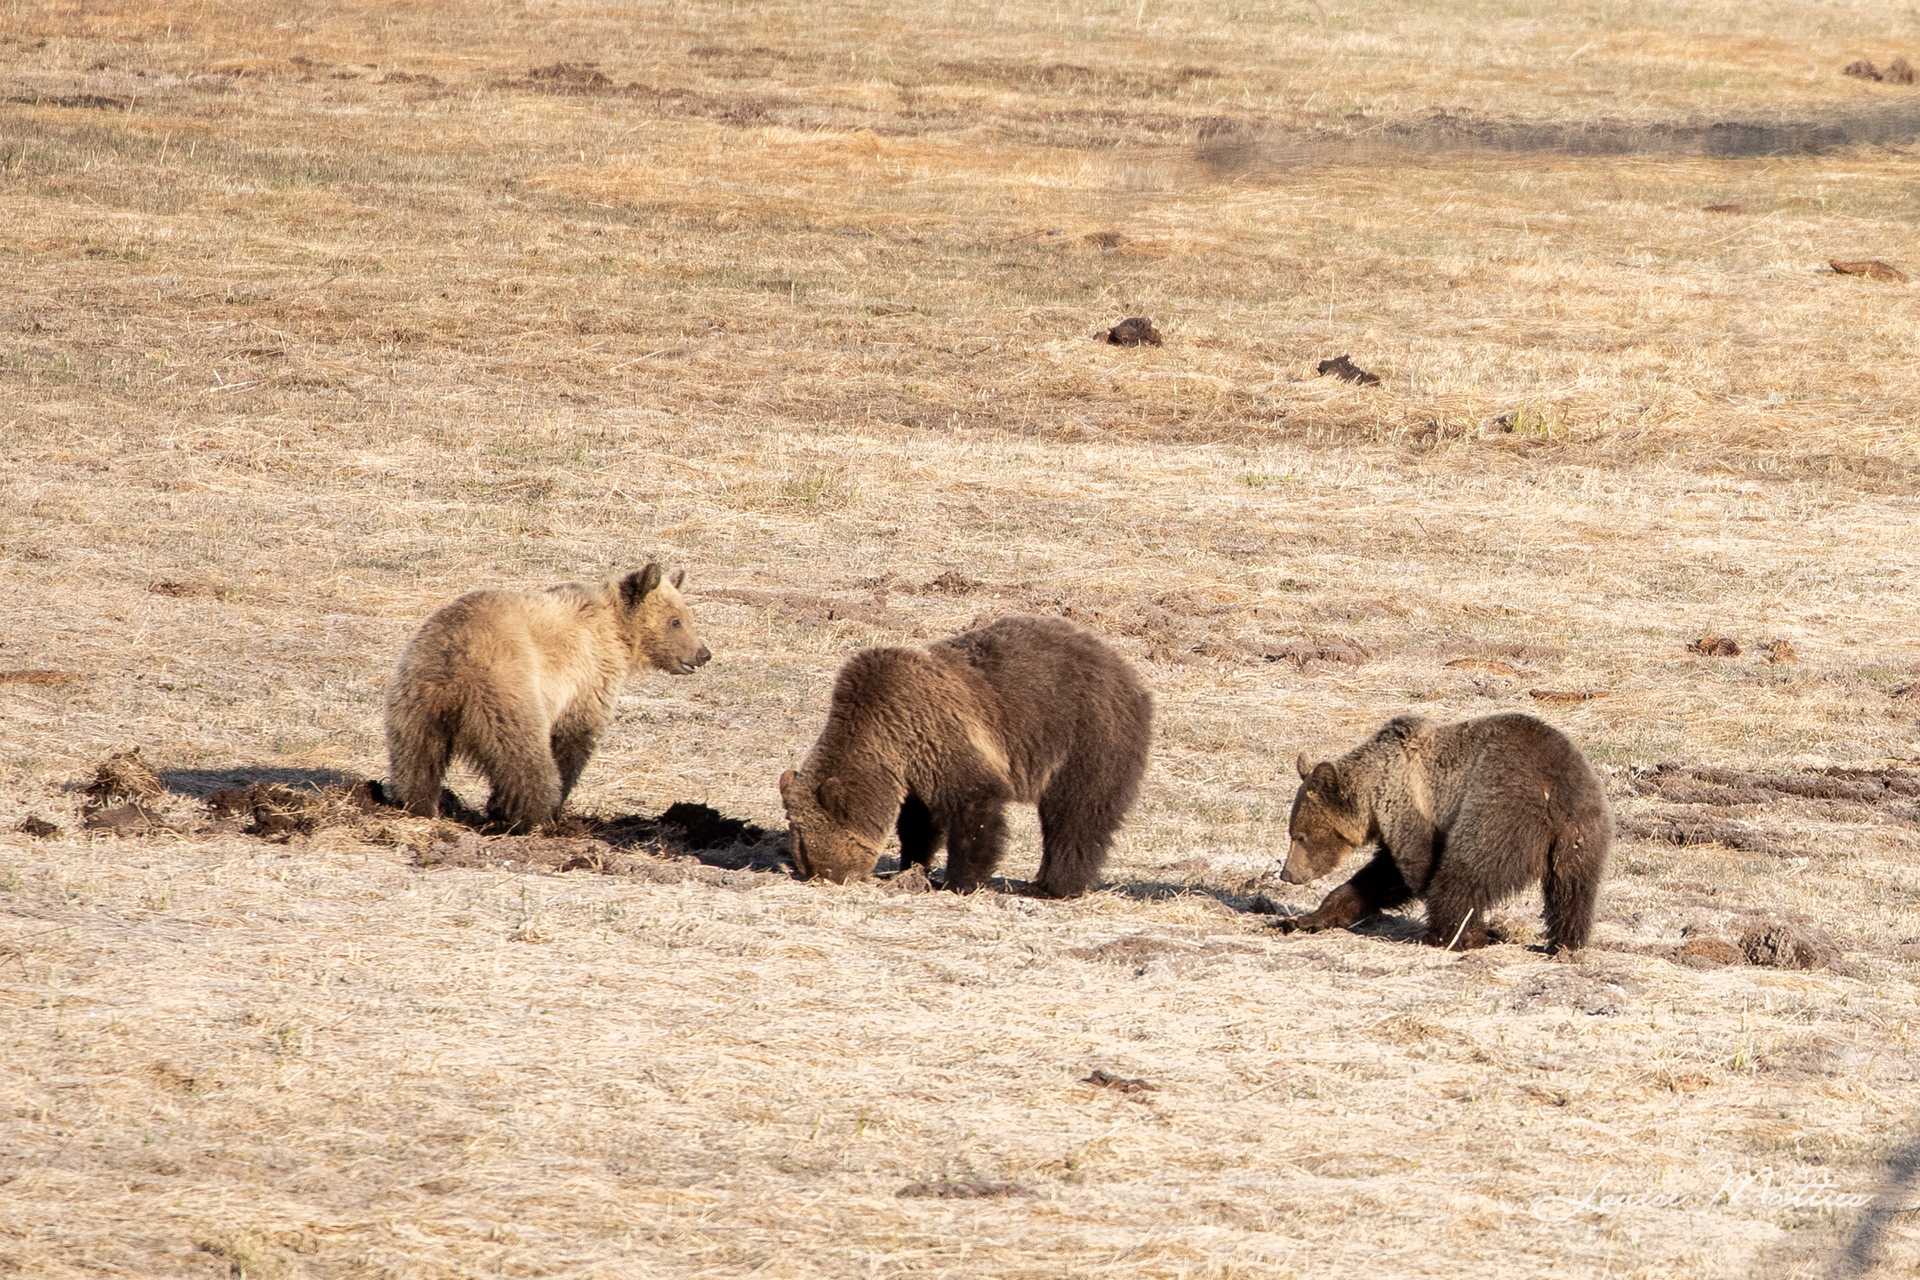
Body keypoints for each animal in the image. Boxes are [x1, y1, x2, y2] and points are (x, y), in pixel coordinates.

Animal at [384, 564, 710, 833]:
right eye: (676, 621)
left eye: (686, 618)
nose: (703, 653)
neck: (617, 633)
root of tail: (455, 662)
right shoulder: (588, 676)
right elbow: (572, 740)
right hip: (507, 690)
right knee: (524, 756)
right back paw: (534, 817)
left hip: (415, 697)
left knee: (416, 755)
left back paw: (418, 804)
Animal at [778, 614, 1152, 897]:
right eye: (803, 852)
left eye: (817, 859)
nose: (819, 876)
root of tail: (1125, 668)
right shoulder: (915, 765)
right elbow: (919, 822)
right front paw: (912, 867)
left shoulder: (941, 734)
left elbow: (974, 809)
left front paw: (960, 881)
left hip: (1085, 733)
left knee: (1077, 813)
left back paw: (1056, 885)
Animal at [1277, 712, 1611, 954]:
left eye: (1300, 836)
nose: (1288, 874)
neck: (1374, 795)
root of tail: (1556, 794)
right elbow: (1380, 876)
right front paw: (1306, 919)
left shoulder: (1412, 807)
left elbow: (1413, 870)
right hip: (1584, 833)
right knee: (1574, 891)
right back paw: (1566, 944)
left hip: (1499, 811)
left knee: (1464, 873)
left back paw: (1454, 935)